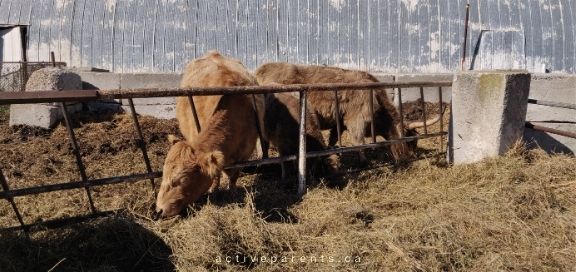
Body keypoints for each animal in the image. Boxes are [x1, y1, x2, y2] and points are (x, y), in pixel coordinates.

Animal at [158, 50, 266, 217]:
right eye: (163, 173)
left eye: (183, 180)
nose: (158, 209)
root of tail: (213, 53)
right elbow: (216, 175)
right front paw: (213, 190)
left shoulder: (244, 154)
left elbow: (233, 176)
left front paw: (232, 192)